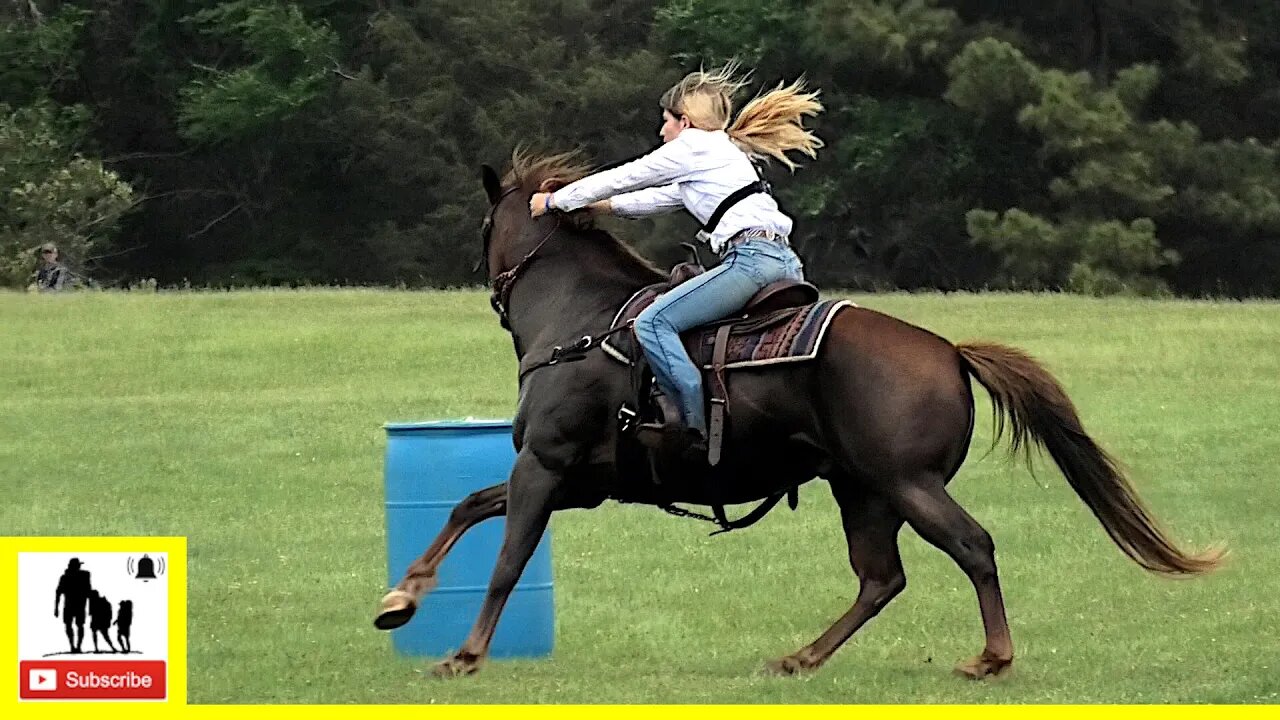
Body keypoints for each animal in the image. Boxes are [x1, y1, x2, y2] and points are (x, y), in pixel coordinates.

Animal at [373, 151, 1223, 676]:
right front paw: (400, 598)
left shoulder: (544, 467)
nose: (486, 281)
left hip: (907, 484)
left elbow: (507, 559)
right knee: (881, 580)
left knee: (972, 548)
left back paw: (991, 657)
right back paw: (802, 657)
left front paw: (465, 654)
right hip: (864, 492)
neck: (580, 320)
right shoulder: (579, 482)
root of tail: (949, 351)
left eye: (486, 226)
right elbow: (465, 505)